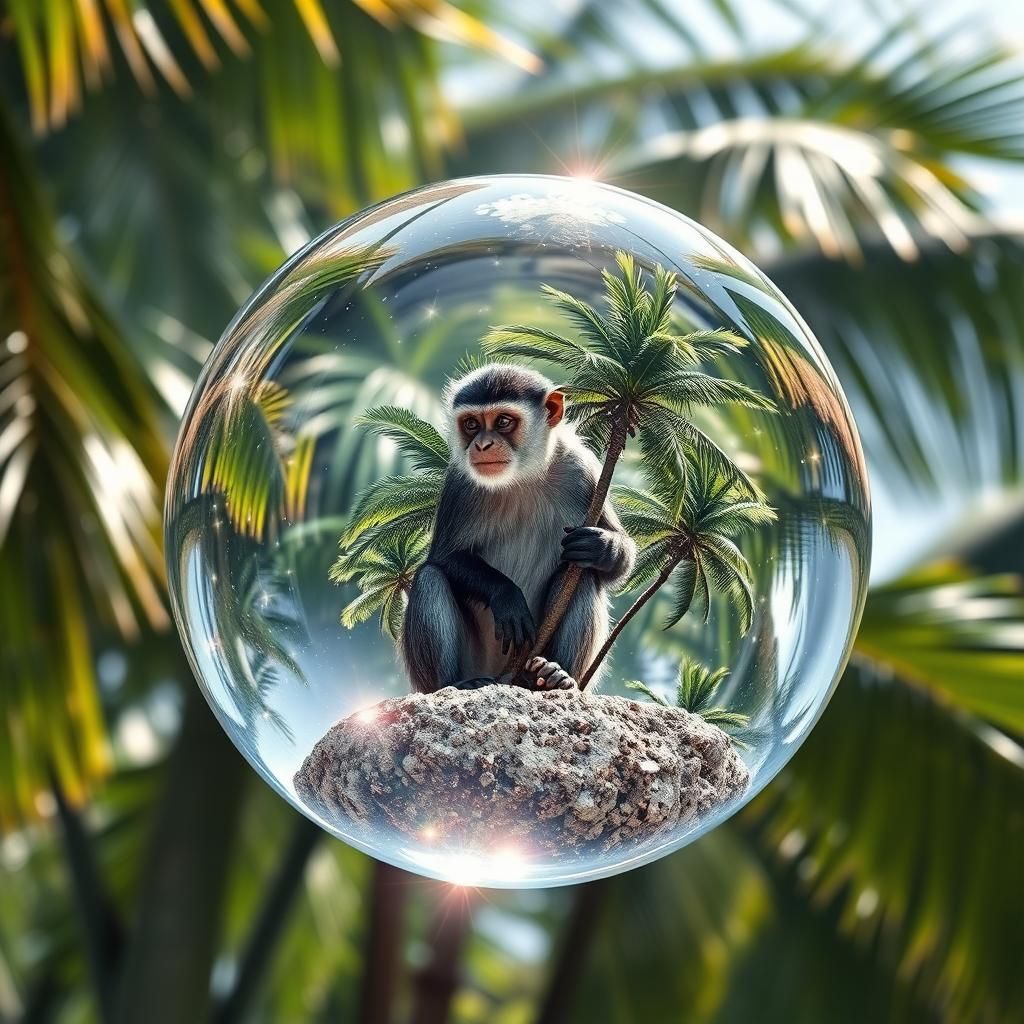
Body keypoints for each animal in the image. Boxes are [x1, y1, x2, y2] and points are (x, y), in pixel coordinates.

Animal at [401, 363, 635, 693]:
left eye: (503, 421)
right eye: (471, 424)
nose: (482, 445)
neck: (522, 476)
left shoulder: (583, 471)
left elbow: (615, 568)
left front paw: (602, 546)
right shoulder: (460, 483)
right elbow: (444, 557)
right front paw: (507, 596)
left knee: (581, 574)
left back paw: (555, 676)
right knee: (430, 577)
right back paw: (455, 683)